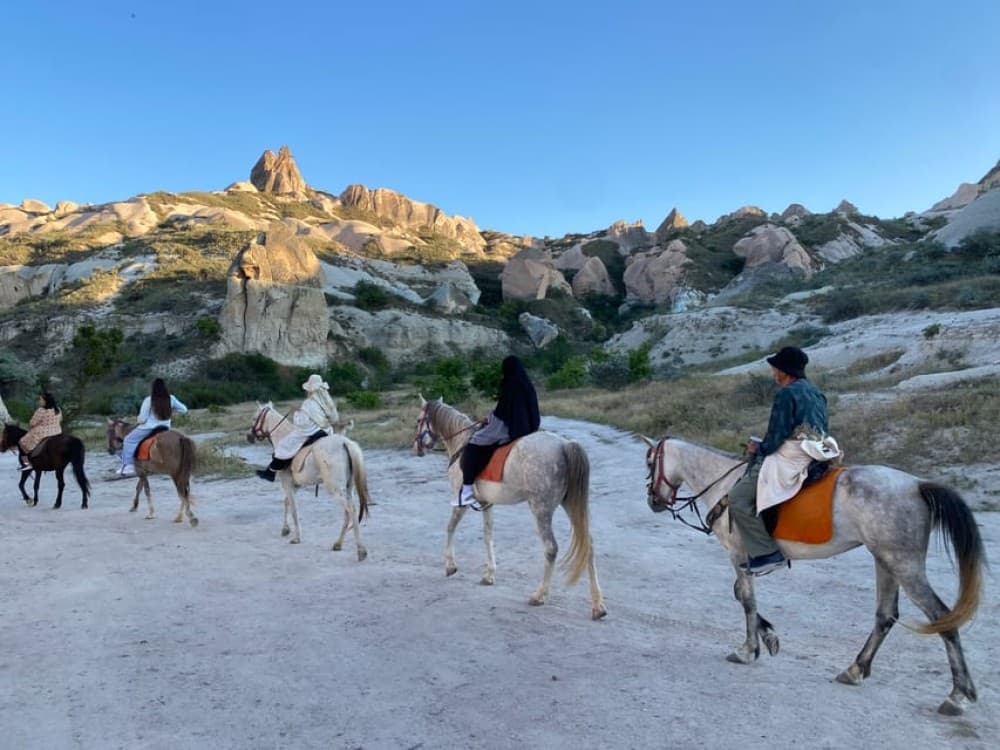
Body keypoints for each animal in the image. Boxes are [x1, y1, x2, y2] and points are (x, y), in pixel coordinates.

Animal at [246, 402, 370, 560]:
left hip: (335, 489)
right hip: (348, 488)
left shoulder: (287, 484)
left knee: (351, 510)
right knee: (348, 511)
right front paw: (285, 529)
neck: (283, 436)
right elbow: (287, 503)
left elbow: (293, 509)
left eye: (254, 418)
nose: (249, 436)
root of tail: (345, 443)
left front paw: (296, 537)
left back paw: (360, 550)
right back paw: (338, 544)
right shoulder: (295, 486)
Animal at [414, 397, 607, 620]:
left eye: (418, 420)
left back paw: (539, 595)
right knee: (588, 545)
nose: (416, 448)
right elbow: (488, 535)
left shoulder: (459, 502)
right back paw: (598, 606)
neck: (460, 442)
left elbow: (450, 528)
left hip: (541, 509)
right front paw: (489, 575)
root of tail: (564, 445)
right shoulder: (486, 504)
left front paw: (450, 566)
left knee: (551, 548)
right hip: (570, 505)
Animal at [642, 435, 986, 715]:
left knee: (942, 618)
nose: (653, 501)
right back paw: (856, 669)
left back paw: (958, 695)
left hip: (904, 566)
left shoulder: (738, 556)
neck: (723, 482)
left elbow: (747, 600)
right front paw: (769, 637)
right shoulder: (742, 561)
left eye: (649, 462)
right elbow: (742, 596)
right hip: (886, 562)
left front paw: (748, 649)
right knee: (886, 615)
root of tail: (916, 484)